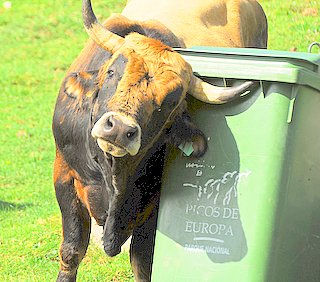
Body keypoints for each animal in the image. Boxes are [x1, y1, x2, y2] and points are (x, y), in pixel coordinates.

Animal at [53, 0, 268, 280]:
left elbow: (142, 261)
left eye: (168, 102)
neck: (113, 175)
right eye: (111, 72)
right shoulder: (64, 176)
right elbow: (72, 250)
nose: (119, 129)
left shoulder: (153, 206)